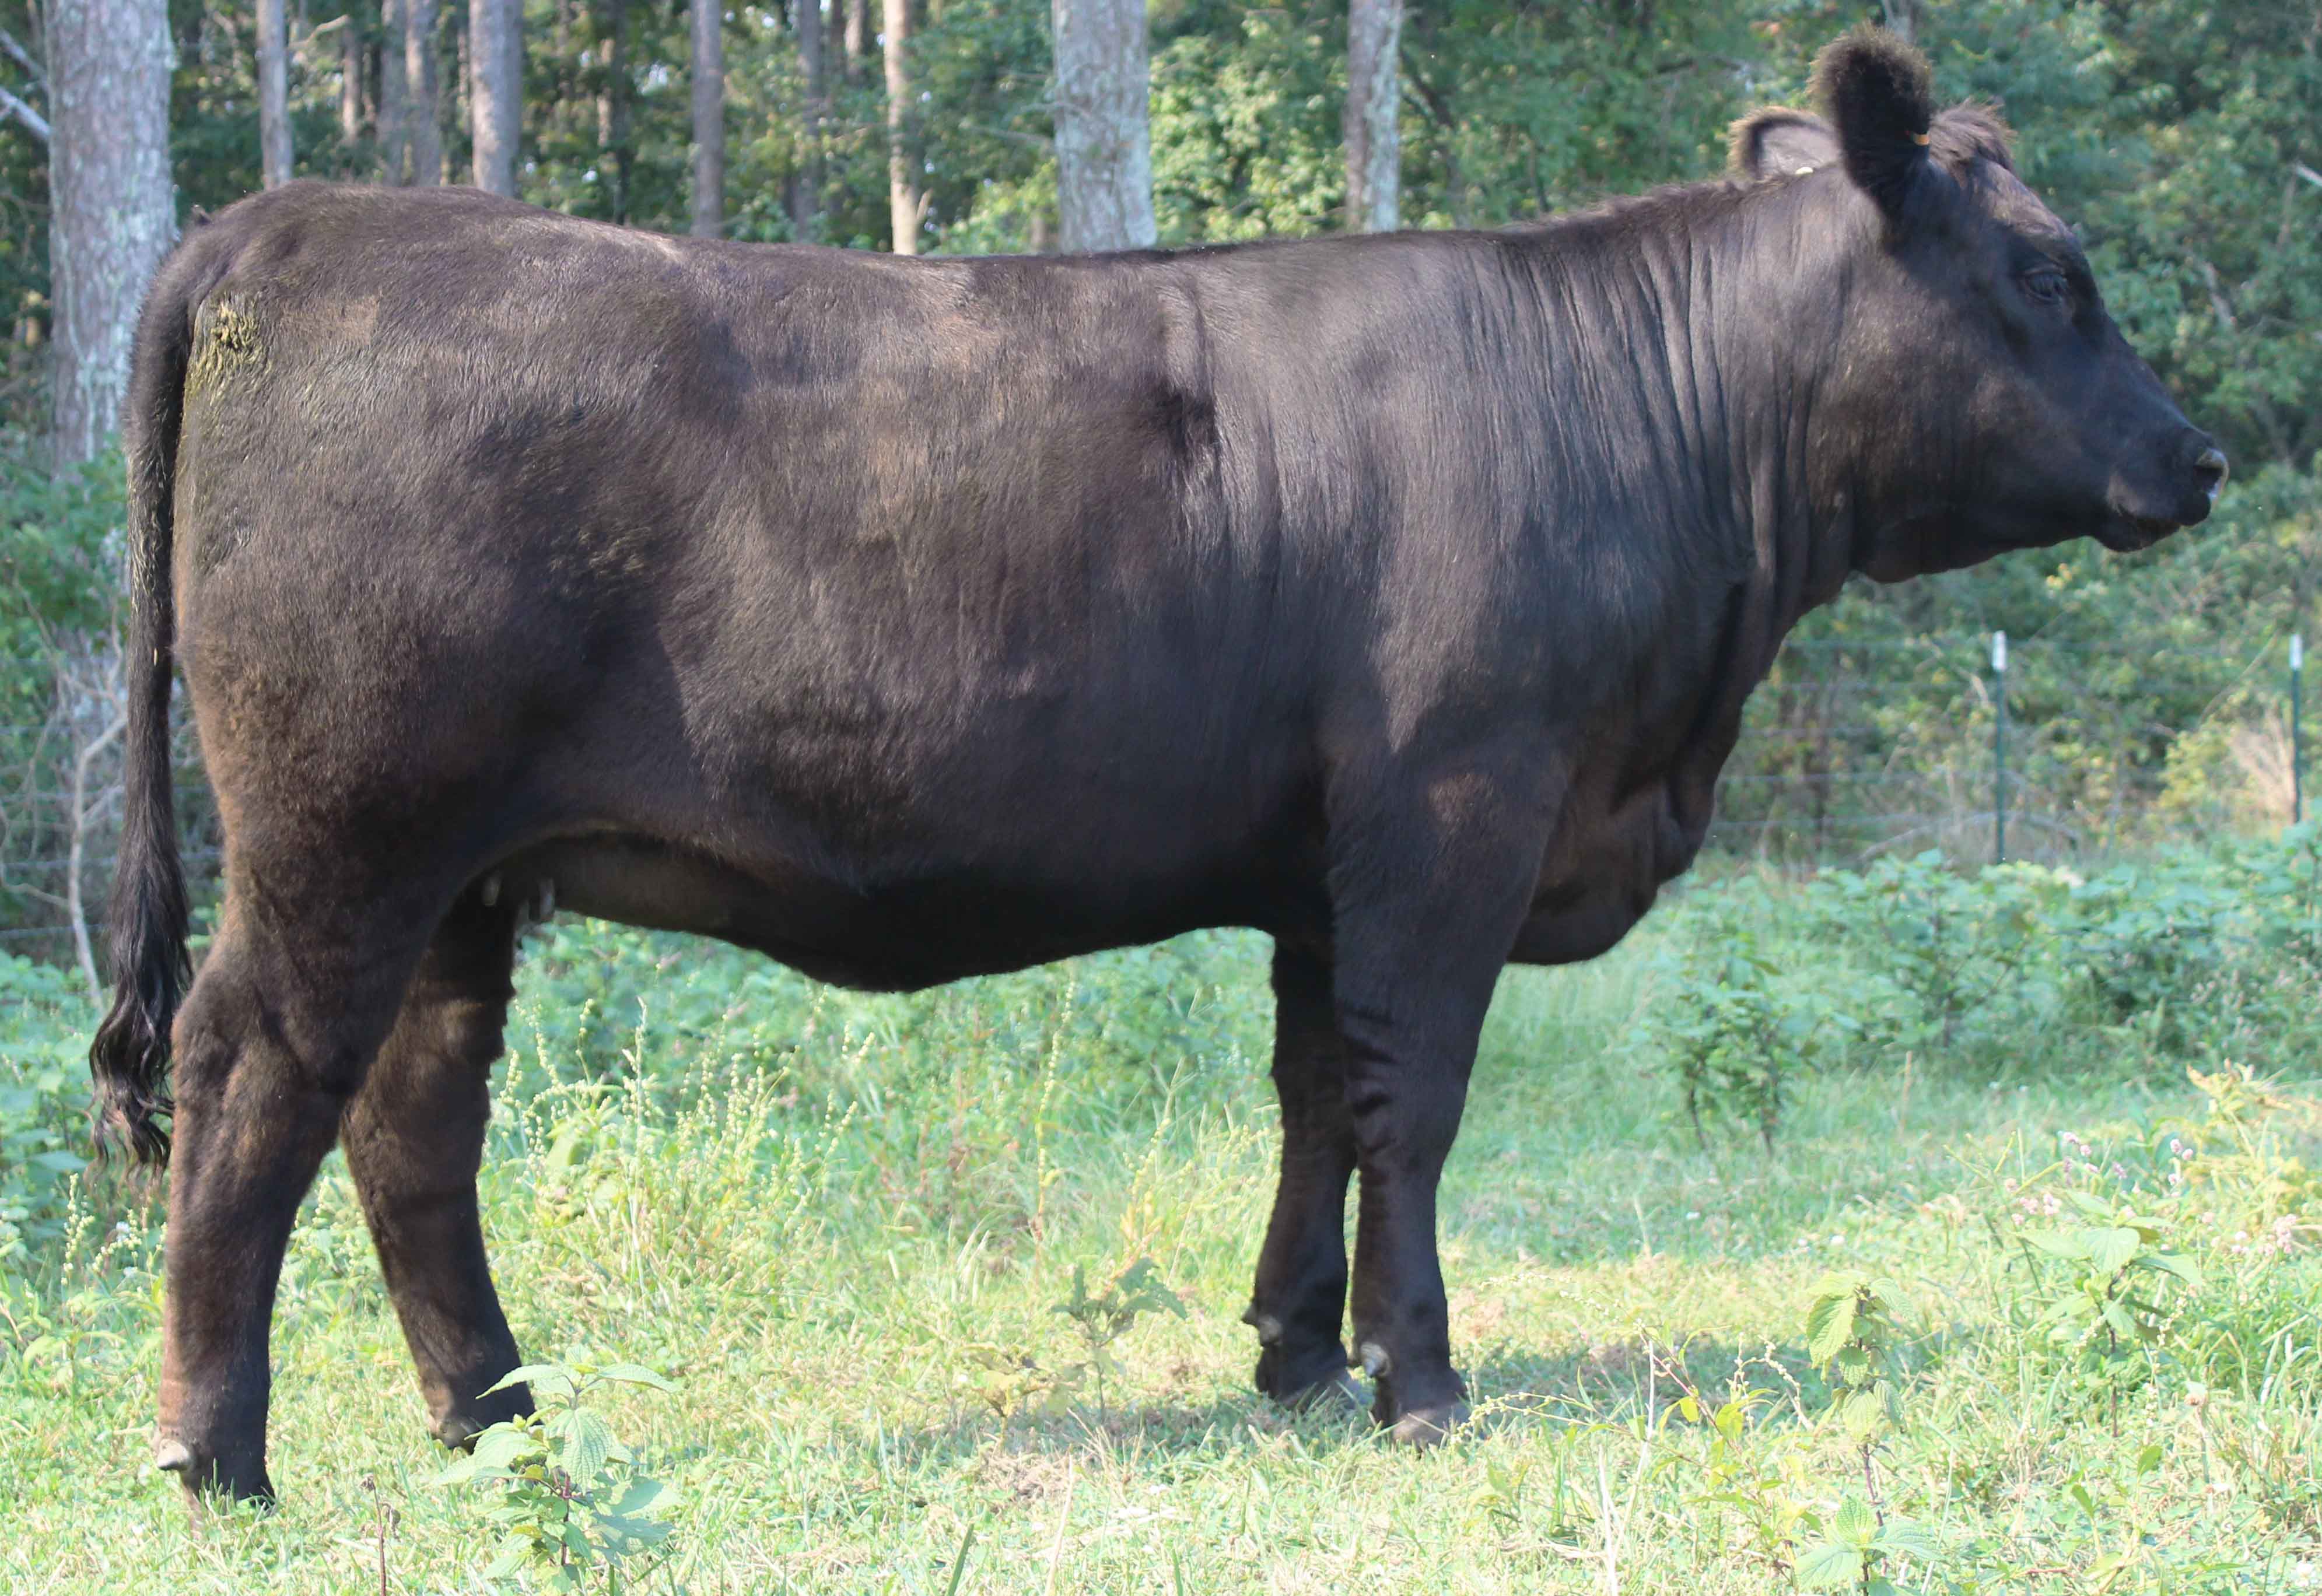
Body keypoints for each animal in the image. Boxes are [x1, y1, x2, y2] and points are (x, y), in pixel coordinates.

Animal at [91, 29, 2223, 1504]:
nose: (2197, 457)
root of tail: (303, 215)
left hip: (459, 874)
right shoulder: (1454, 816)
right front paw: (1421, 1379)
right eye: (2052, 278)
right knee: (252, 1082)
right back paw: (217, 1454)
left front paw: (1296, 1354)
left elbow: (1314, 1097)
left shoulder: (1324, 862)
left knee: (411, 1125)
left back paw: (499, 1417)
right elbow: (1412, 1103)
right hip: (346, 835)